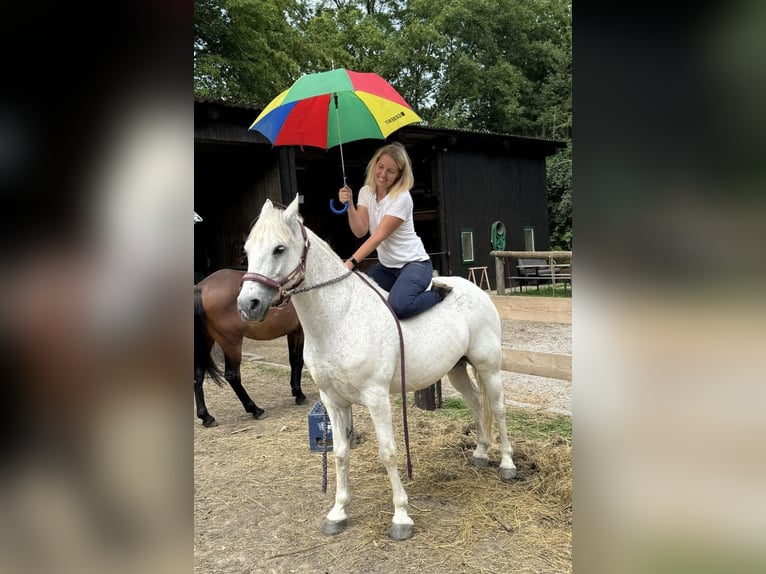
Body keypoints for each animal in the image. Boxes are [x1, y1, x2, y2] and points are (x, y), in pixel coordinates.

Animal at [192, 270, 306, 428]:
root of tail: (201, 287)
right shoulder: (300, 332)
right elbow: (298, 361)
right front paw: (299, 394)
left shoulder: (293, 332)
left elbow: (293, 360)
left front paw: (295, 391)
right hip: (231, 343)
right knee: (232, 376)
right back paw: (255, 409)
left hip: (206, 341)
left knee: (198, 376)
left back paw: (206, 417)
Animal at [237, 196, 520, 544]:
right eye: (248, 250)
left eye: (279, 249)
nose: (247, 305)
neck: (340, 318)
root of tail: (476, 290)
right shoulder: (332, 400)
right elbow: (340, 452)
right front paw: (338, 512)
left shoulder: (376, 398)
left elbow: (388, 453)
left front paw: (401, 517)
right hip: (456, 369)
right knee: (477, 404)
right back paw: (480, 453)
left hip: (488, 366)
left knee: (499, 408)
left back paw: (507, 463)